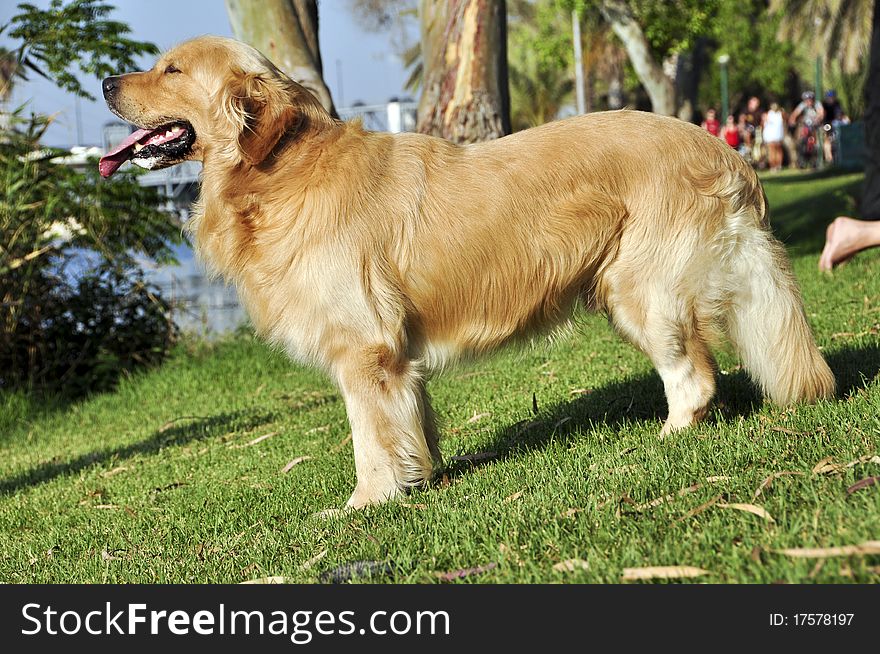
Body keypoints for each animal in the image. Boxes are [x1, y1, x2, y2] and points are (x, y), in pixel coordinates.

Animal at [99, 37, 836, 512]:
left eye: (171, 68)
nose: (106, 84)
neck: (279, 173)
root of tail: (724, 152)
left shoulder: (364, 351)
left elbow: (370, 440)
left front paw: (367, 503)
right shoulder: (397, 355)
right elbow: (411, 425)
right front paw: (422, 480)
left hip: (640, 291)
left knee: (697, 376)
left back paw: (668, 436)